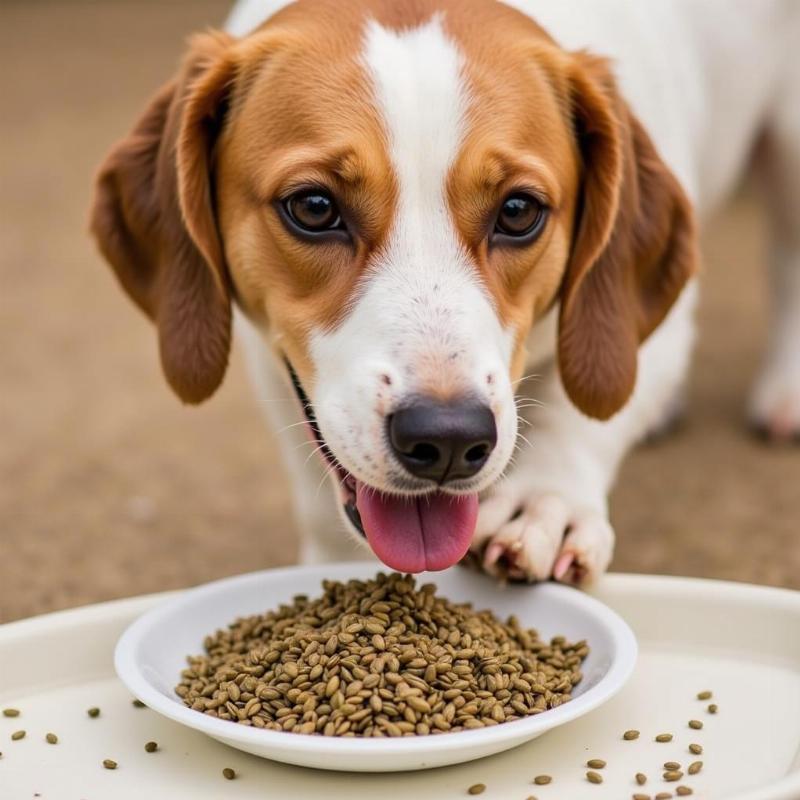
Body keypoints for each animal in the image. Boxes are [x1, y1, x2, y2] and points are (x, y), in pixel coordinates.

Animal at [87, 0, 800, 584]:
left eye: (518, 211)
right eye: (314, 207)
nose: (449, 438)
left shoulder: (651, 331)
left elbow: (581, 414)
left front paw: (545, 502)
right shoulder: (272, 359)